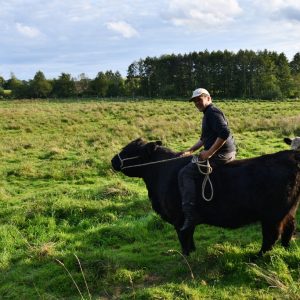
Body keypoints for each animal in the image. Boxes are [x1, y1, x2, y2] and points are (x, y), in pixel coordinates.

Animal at [110, 138, 300, 255]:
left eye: (131, 150)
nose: (113, 160)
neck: (161, 171)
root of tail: (291, 155)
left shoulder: (179, 219)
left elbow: (184, 237)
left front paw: (185, 255)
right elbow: (190, 235)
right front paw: (193, 251)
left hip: (272, 215)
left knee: (271, 236)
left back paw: (258, 256)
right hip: (288, 211)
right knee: (289, 229)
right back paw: (285, 250)